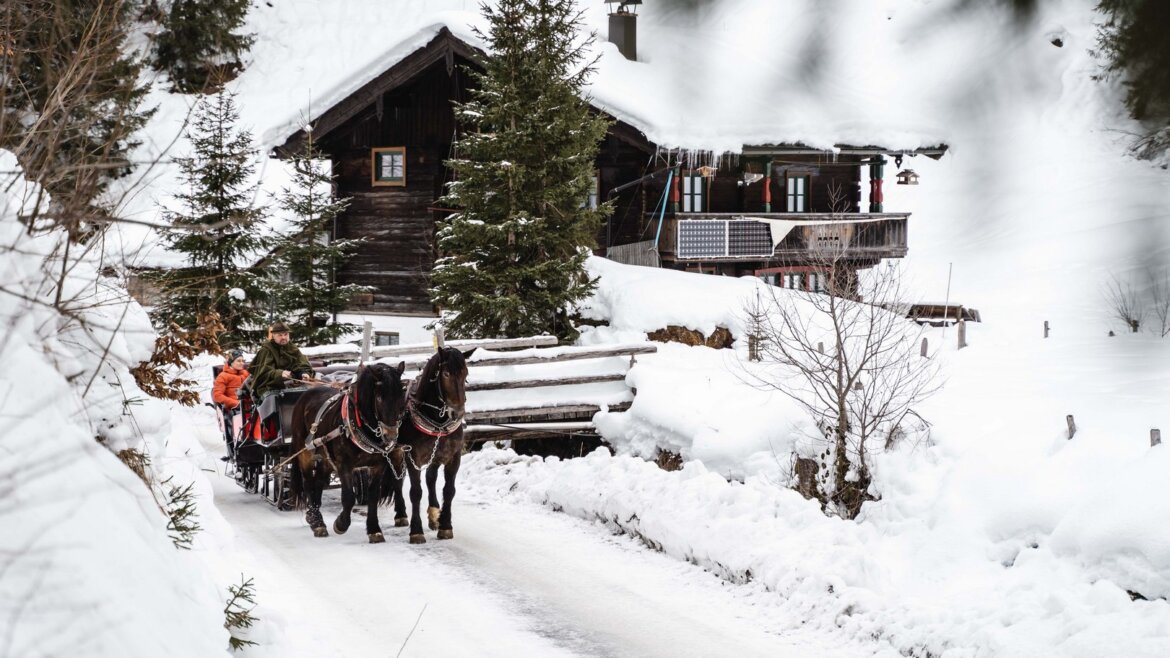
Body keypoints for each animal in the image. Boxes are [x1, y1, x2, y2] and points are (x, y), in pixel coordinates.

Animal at [287, 360, 407, 540]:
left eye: (401, 397)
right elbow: (349, 497)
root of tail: (305, 394)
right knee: (308, 482)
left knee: (319, 481)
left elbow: (373, 496)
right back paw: (317, 521)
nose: (390, 435)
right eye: (379, 398)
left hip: (326, 458)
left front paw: (374, 529)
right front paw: (341, 524)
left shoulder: (378, 465)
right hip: (305, 452)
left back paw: (315, 515)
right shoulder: (344, 465)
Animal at [386, 346, 472, 540]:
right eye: (446, 373)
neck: (437, 420)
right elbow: (415, 492)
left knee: (430, 478)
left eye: (466, 372)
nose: (458, 413)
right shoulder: (413, 456)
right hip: (395, 450)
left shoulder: (453, 457)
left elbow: (448, 490)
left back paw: (434, 514)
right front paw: (416, 531)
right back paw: (401, 514)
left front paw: (445, 525)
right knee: (397, 480)